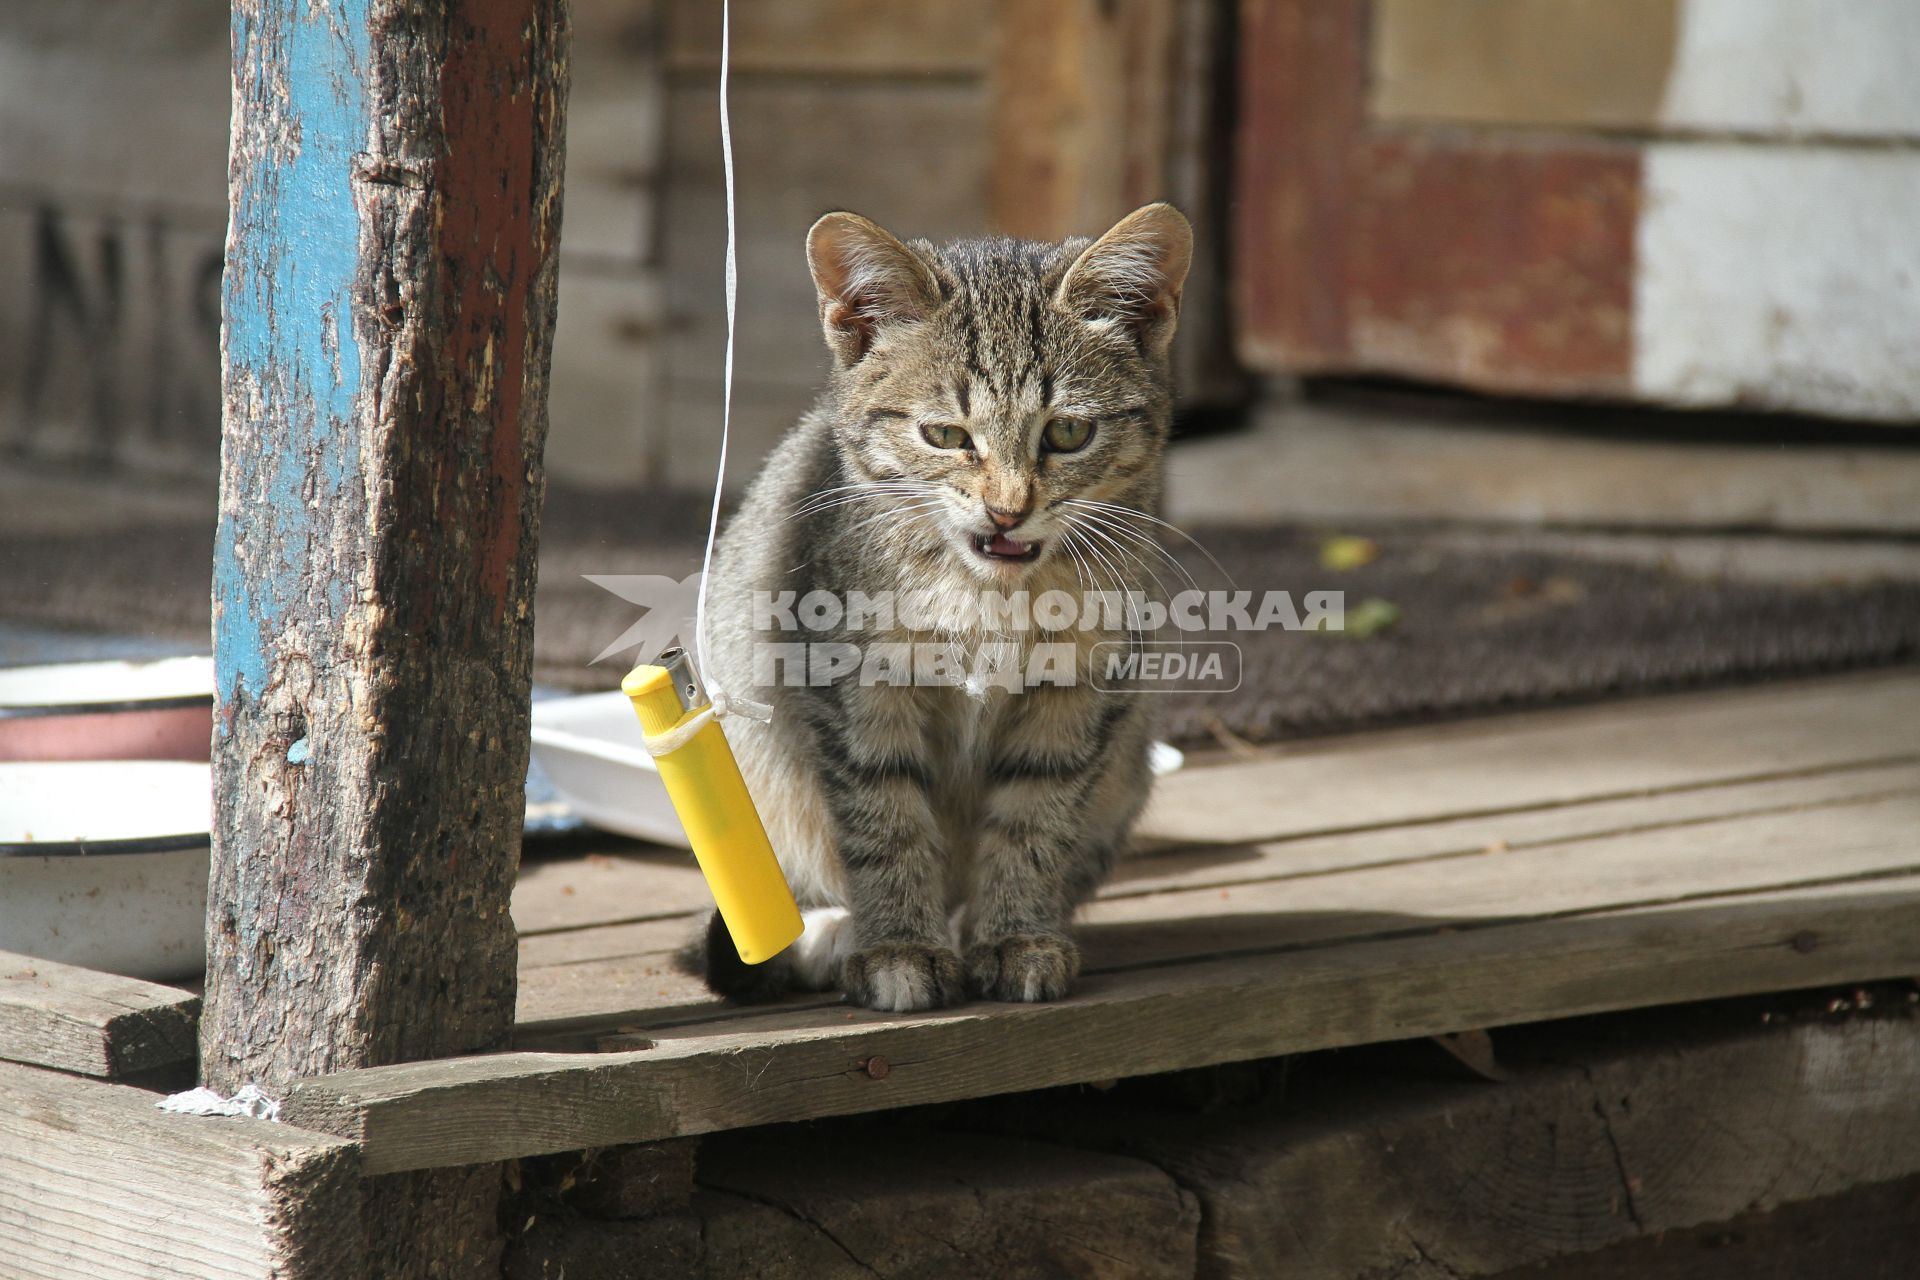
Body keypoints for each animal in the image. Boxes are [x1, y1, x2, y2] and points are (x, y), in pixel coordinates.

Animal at [698, 205, 1190, 1013]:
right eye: (945, 436)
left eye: (1068, 432)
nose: (1007, 510)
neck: (988, 594)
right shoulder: (854, 689)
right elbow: (886, 820)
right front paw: (901, 946)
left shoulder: (1080, 692)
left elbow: (1035, 819)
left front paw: (1016, 934)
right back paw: (835, 934)